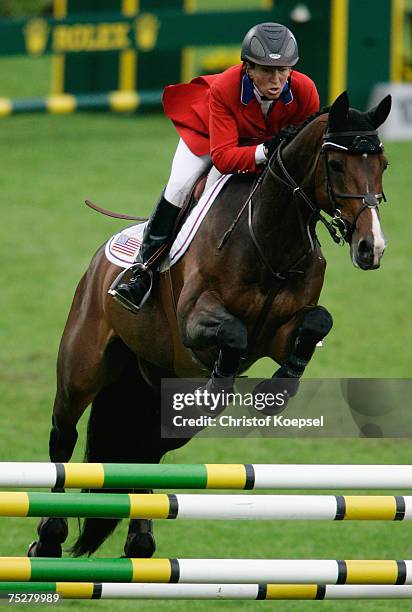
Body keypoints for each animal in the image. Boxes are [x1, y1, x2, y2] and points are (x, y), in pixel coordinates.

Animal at [28, 91, 390, 560]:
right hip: (82, 368)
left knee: (146, 452)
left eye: (383, 164)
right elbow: (232, 333)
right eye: (337, 164)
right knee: (63, 435)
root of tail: (96, 266)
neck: (271, 238)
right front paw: (220, 386)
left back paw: (141, 541)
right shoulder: (195, 324)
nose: (371, 248)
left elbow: (316, 322)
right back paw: (49, 537)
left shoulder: (278, 335)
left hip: (158, 395)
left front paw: (275, 393)